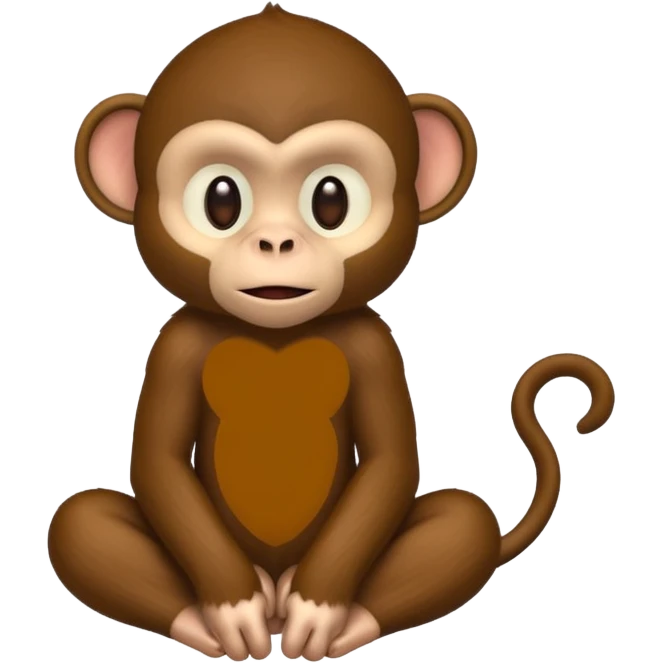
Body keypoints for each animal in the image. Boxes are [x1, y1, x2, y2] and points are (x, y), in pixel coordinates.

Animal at [51, 4, 617, 661]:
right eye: (221, 200)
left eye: (330, 199)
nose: (276, 242)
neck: (276, 339)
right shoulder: (176, 347)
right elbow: (158, 463)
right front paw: (231, 609)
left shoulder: (374, 347)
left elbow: (390, 462)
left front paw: (319, 609)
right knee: (77, 522)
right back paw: (224, 610)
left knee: (465, 520)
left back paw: (329, 611)